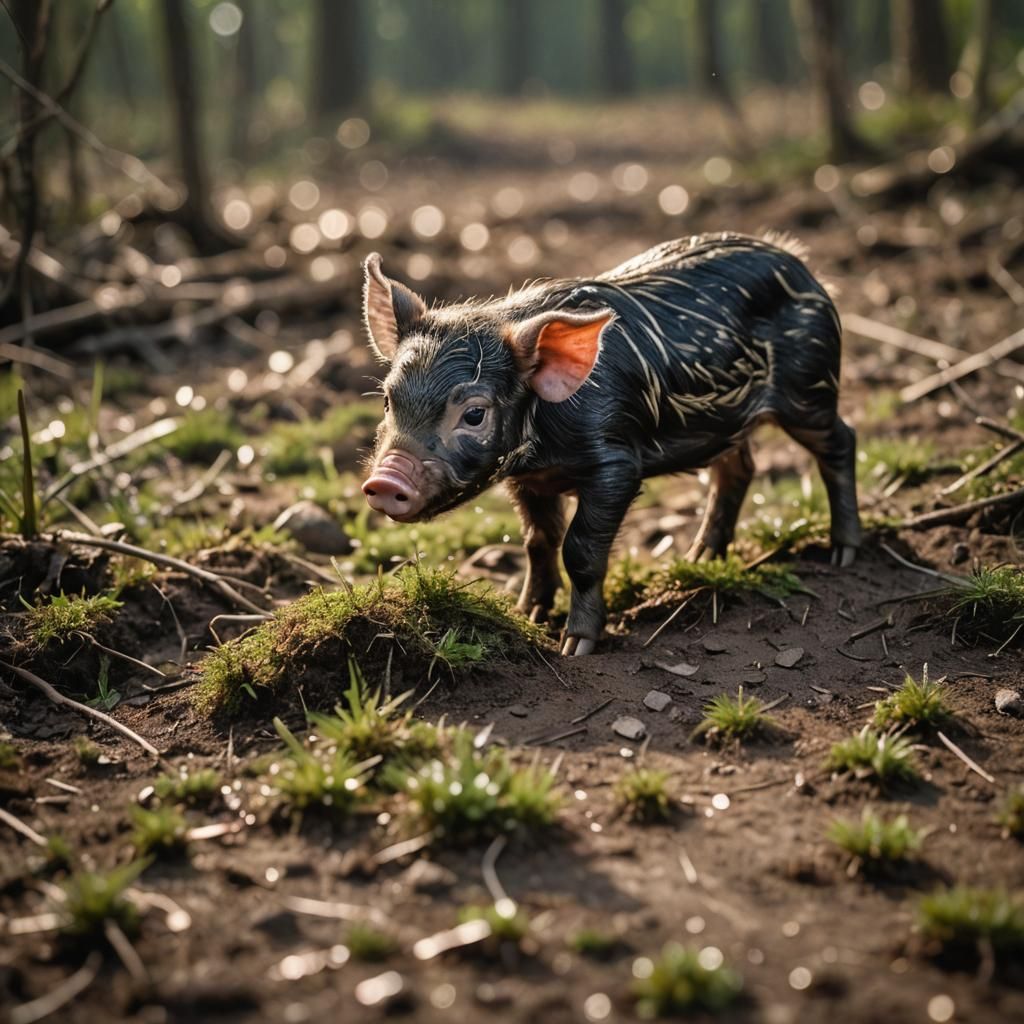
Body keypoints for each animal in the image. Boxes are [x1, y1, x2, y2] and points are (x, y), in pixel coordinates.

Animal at [360, 233, 861, 655]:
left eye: (474, 414)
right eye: (387, 400)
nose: (384, 482)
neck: (545, 448)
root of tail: (798, 262)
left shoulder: (616, 463)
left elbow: (580, 549)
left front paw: (574, 646)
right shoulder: (529, 479)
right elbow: (538, 541)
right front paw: (525, 614)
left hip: (810, 388)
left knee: (841, 442)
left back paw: (843, 554)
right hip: (728, 422)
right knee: (737, 468)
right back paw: (700, 557)